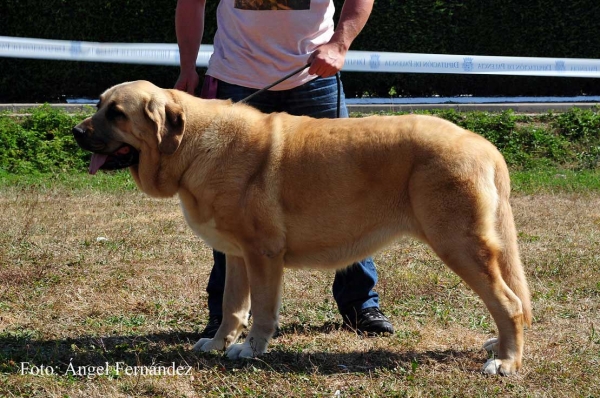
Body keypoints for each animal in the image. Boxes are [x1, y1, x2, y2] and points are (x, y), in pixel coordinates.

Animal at [74, 80, 528, 374]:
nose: (76, 131)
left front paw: (250, 350)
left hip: (459, 245)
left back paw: (506, 361)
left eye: (116, 113)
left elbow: (261, 310)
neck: (192, 144)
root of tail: (483, 144)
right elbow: (231, 306)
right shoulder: (236, 256)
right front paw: (219, 343)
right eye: (97, 104)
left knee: (509, 304)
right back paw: (499, 346)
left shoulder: (262, 254)